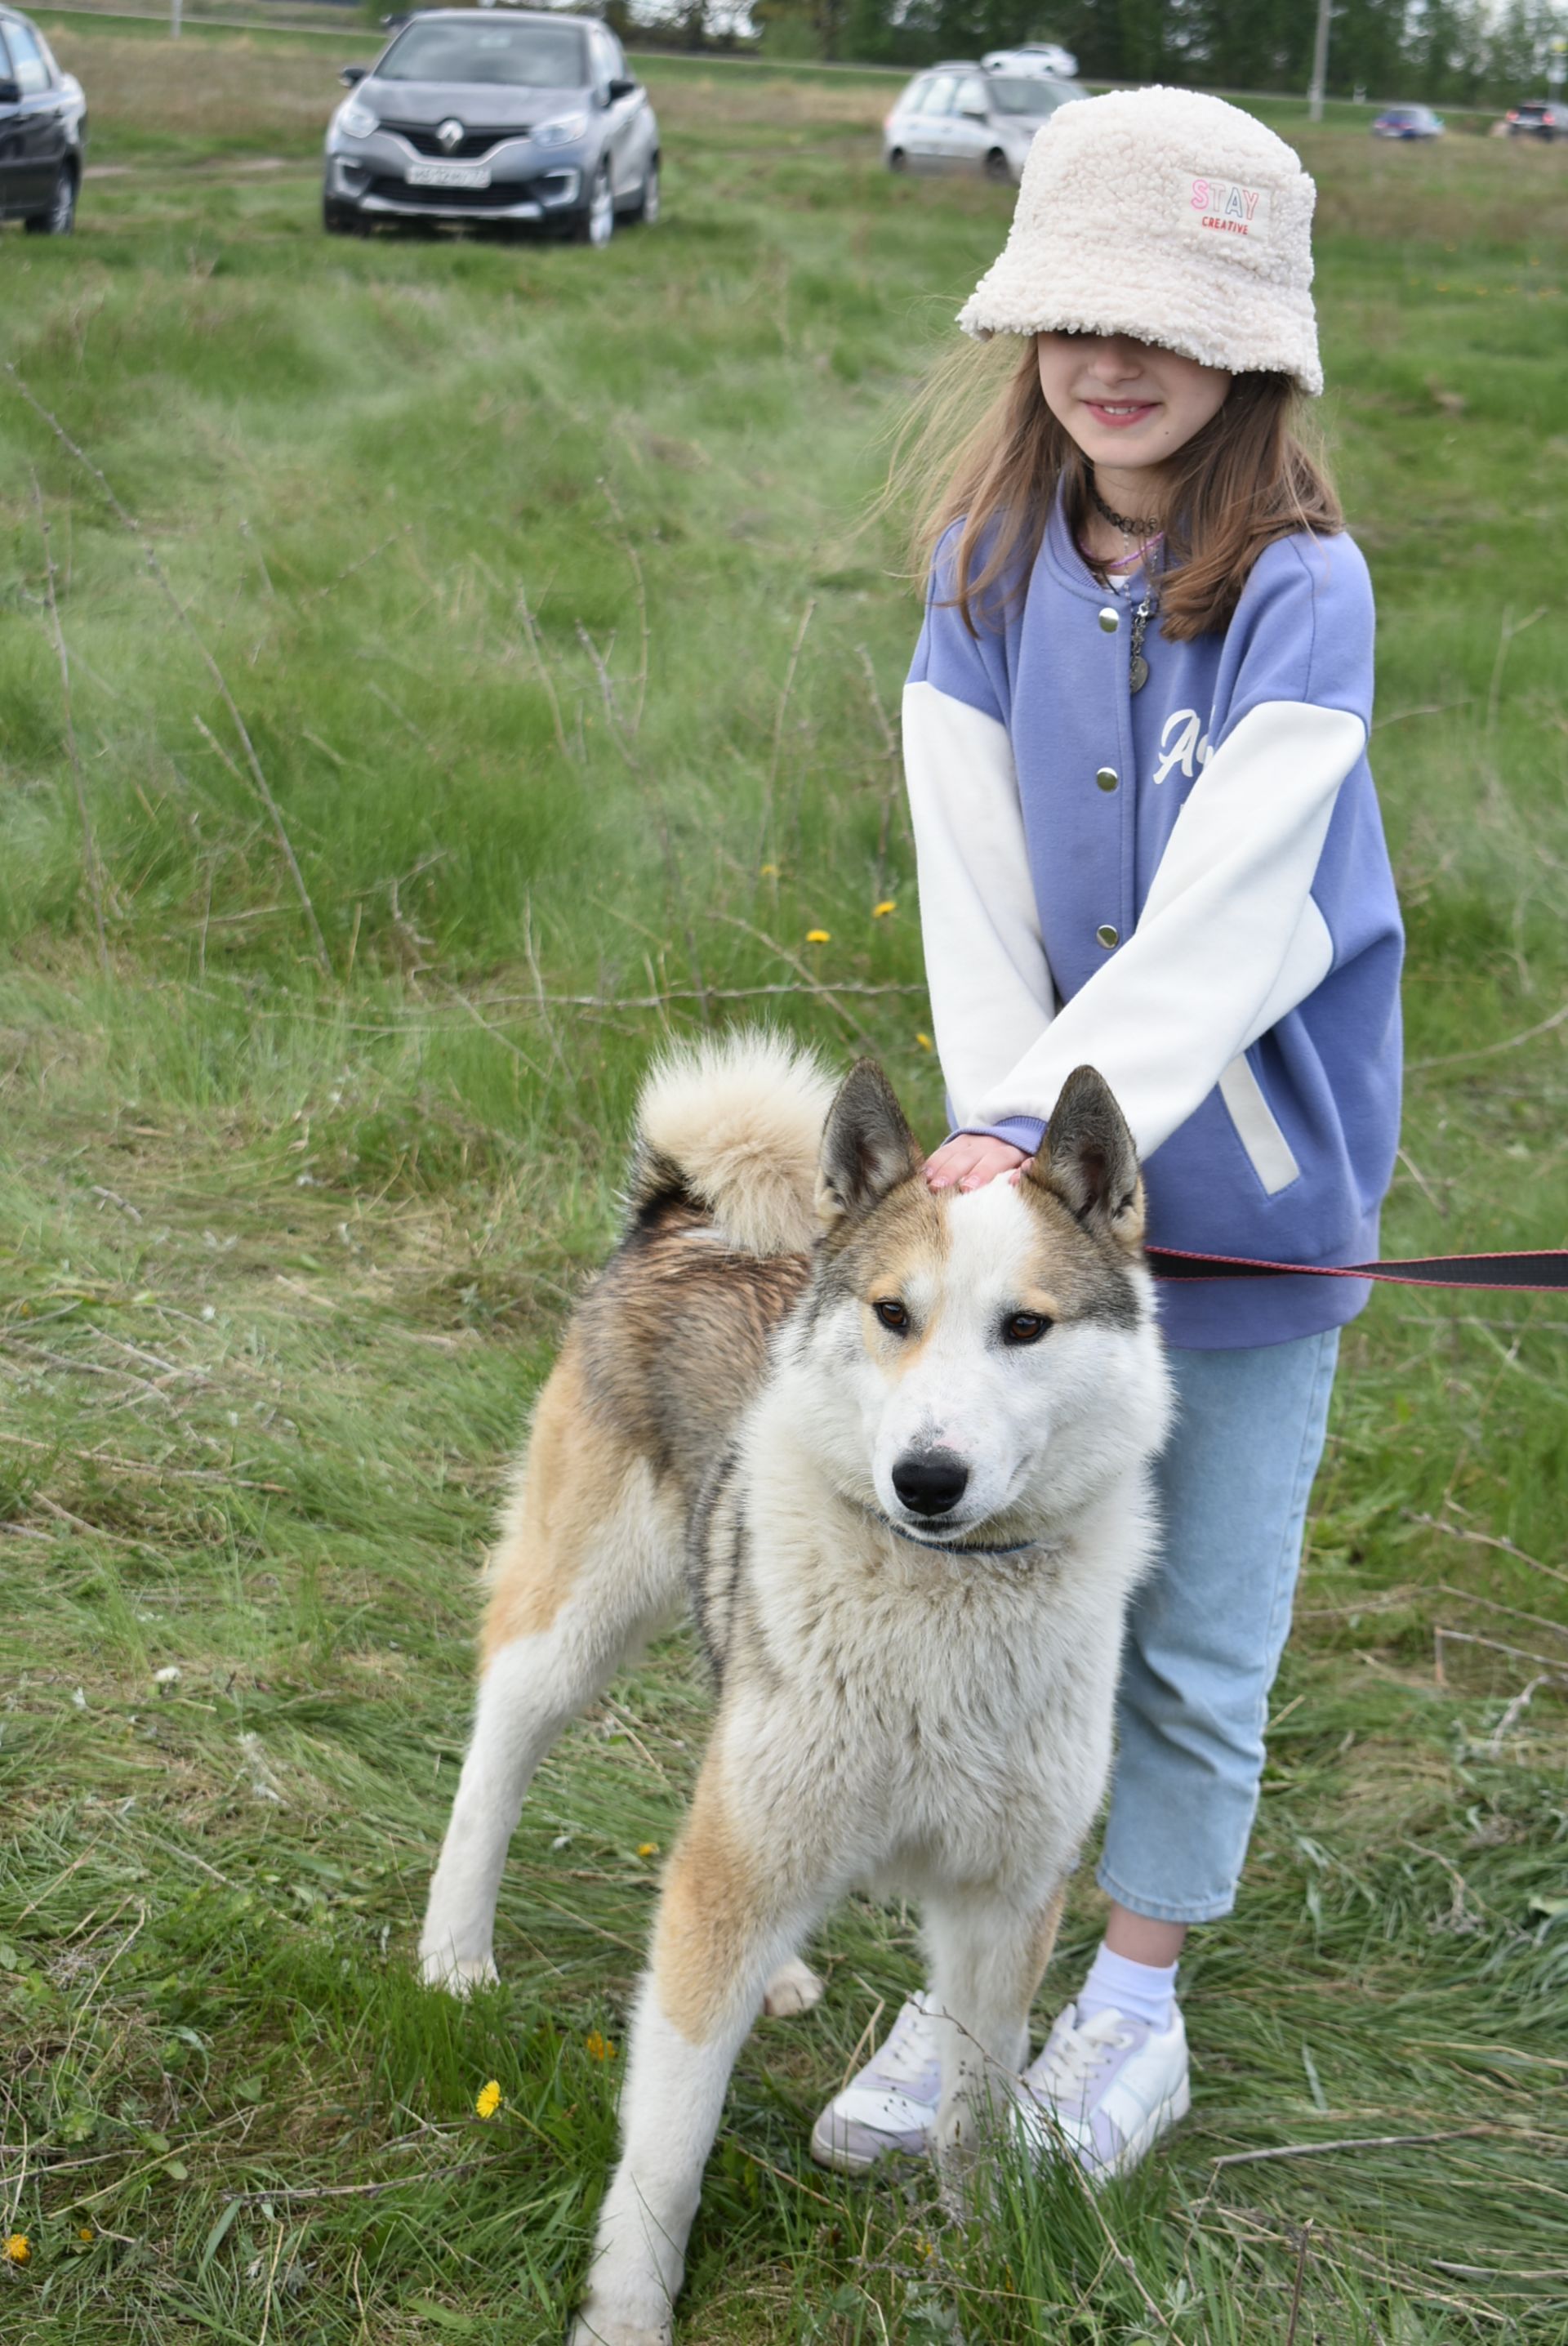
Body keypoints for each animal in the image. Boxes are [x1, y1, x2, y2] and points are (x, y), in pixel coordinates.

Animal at [421, 1041, 1167, 2346]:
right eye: (892, 1315)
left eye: (1025, 1326)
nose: (926, 1478)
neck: (941, 1603)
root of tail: (681, 1216)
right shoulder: (734, 1885)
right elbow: (667, 2148)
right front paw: (626, 2314)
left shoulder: (1001, 1909)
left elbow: (973, 2116)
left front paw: (980, 2264)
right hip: (577, 1625)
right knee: (495, 1762)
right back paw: (454, 1953)